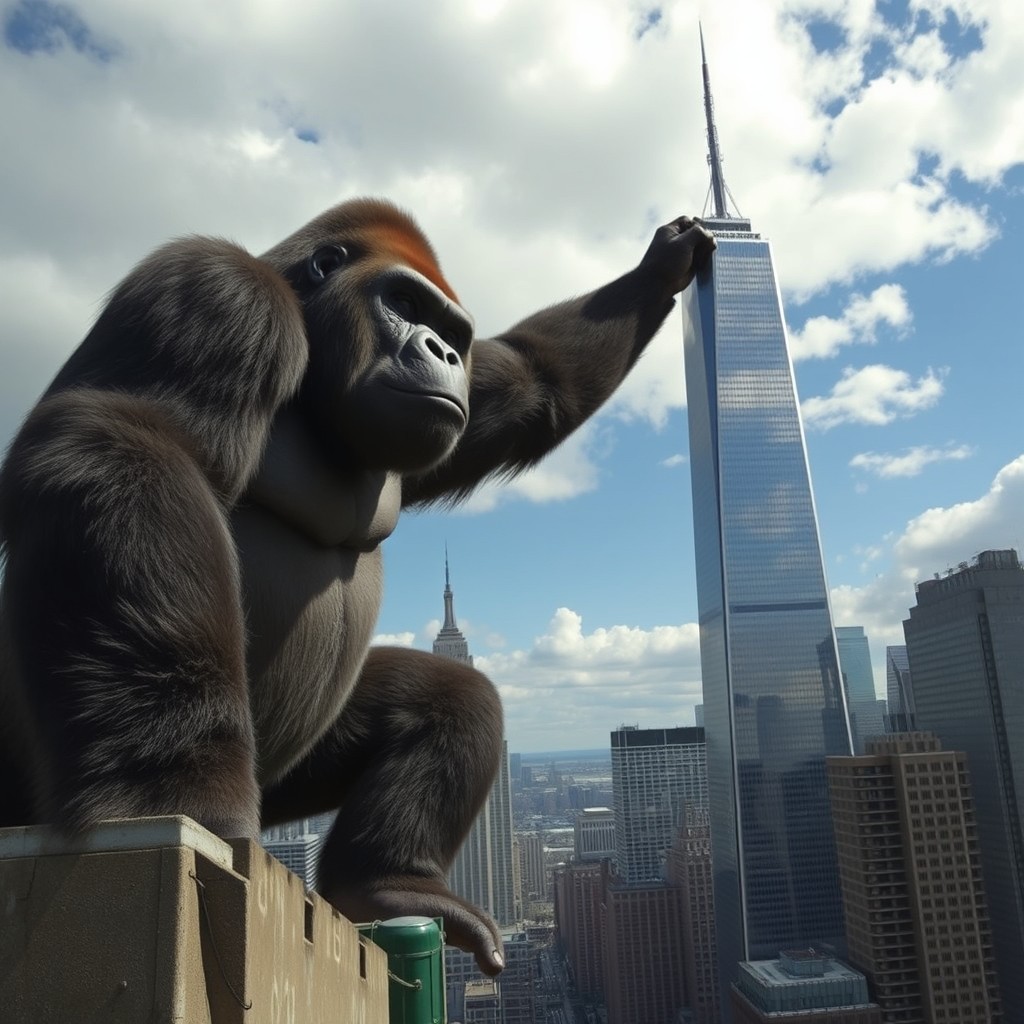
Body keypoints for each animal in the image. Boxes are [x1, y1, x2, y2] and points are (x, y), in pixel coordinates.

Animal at [0, 199, 714, 974]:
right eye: (403, 303)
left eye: (454, 333)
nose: (443, 354)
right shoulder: (215, 293)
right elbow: (126, 441)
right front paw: (172, 787)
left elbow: (534, 384)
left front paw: (661, 266)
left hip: (287, 775)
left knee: (451, 700)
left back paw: (385, 884)